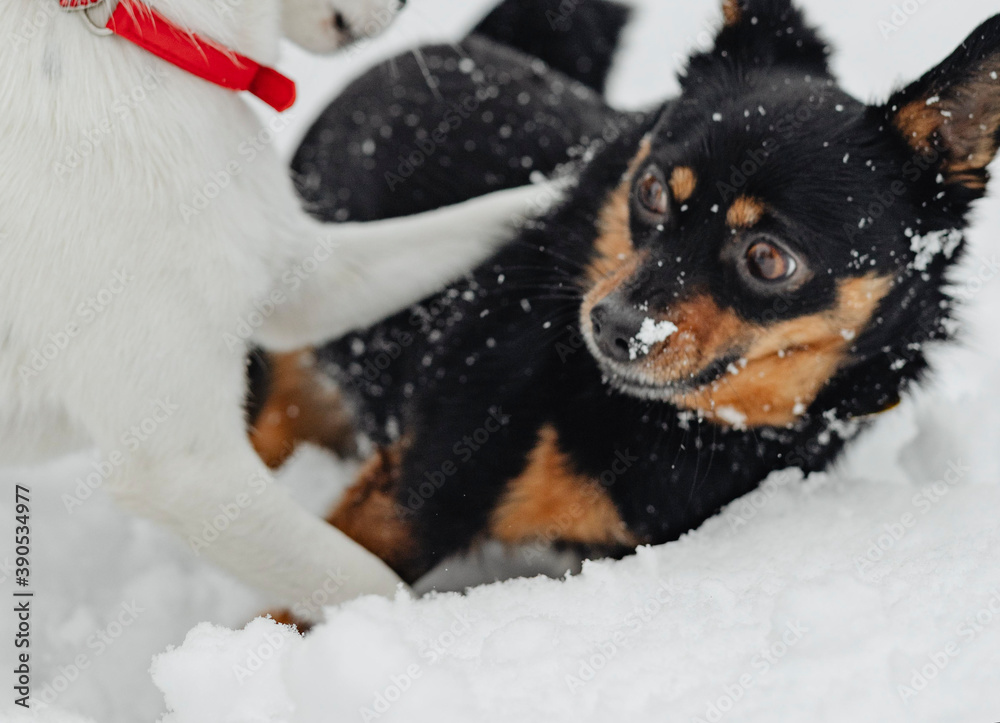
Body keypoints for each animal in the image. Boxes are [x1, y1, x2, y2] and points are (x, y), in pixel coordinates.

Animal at [0, 0, 548, 612]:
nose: (407, 6)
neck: (148, 34)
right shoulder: (188, 470)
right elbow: (369, 582)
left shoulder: (299, 278)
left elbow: (482, 219)